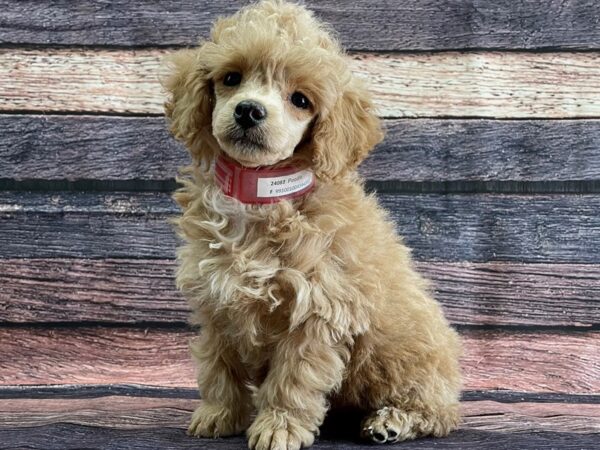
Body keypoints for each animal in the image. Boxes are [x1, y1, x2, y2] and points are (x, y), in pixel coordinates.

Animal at [162, 1, 462, 448]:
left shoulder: (319, 308)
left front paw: (279, 428)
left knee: (439, 412)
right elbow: (218, 365)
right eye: (231, 78)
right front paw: (219, 414)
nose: (249, 109)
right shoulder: (217, 302)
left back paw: (392, 421)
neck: (260, 194)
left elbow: (293, 377)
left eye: (300, 99)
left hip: (409, 362)